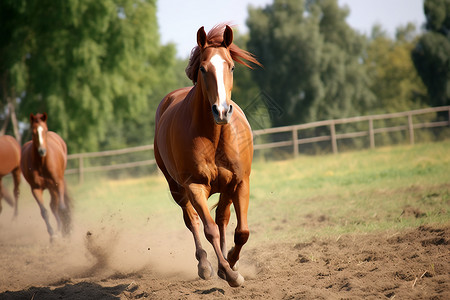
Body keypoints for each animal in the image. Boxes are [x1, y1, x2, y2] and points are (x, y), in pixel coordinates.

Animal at [20, 112, 71, 241]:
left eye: (45, 131)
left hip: (54, 187)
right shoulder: (36, 189)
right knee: (52, 206)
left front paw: (65, 232)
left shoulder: (58, 183)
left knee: (56, 206)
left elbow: (61, 208)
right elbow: (44, 212)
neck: (41, 163)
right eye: (33, 132)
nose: (42, 151)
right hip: (50, 188)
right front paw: (53, 234)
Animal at [155, 24, 260, 288]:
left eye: (231, 66)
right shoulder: (195, 186)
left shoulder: (240, 182)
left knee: (222, 218)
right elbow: (208, 229)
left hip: (226, 188)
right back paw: (204, 265)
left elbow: (241, 231)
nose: (222, 111)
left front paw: (231, 262)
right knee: (192, 220)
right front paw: (228, 273)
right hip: (177, 189)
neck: (215, 137)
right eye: (203, 68)